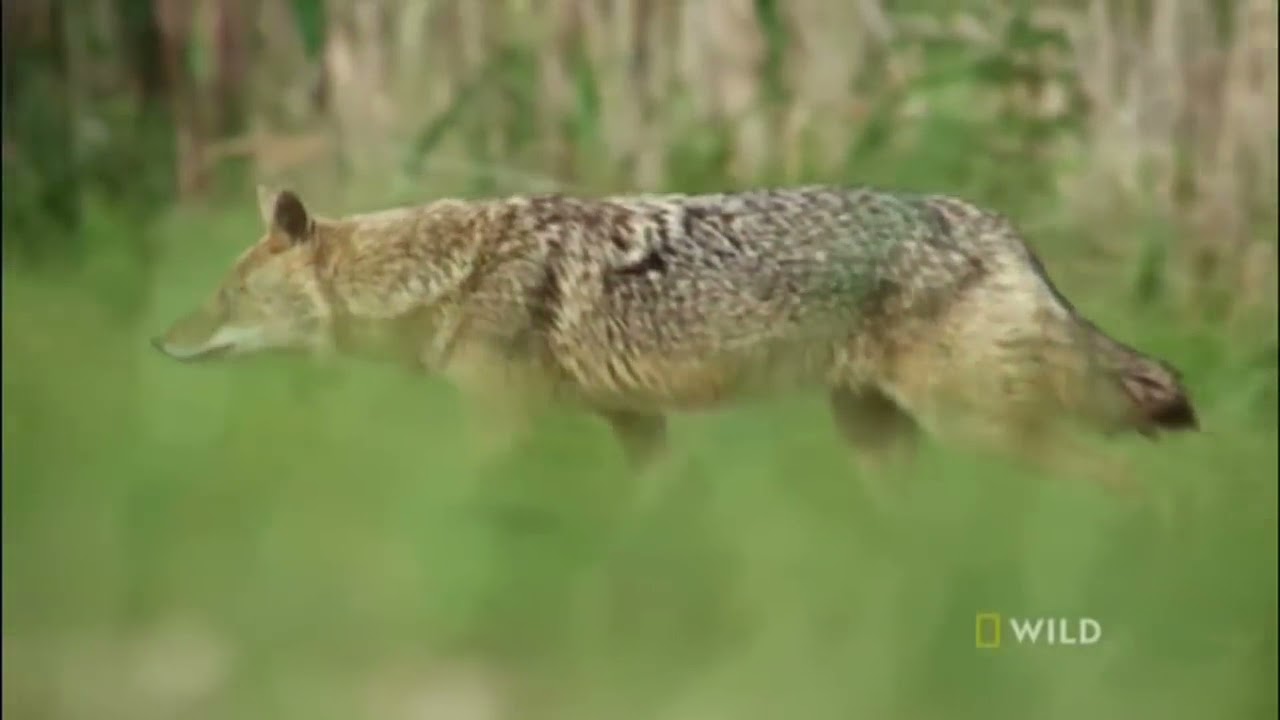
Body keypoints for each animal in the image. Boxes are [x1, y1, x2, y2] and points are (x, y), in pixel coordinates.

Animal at [152, 185, 1198, 483]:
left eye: (228, 294)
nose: (160, 339)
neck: (452, 267)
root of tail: (1005, 229)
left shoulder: (502, 421)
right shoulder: (634, 422)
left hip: (980, 428)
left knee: (1135, 486)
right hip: (880, 436)